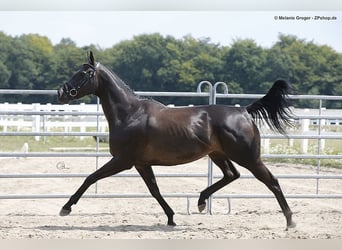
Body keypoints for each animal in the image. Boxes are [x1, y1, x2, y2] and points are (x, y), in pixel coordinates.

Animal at [57, 51, 296, 229]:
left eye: (84, 73)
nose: (62, 92)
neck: (130, 114)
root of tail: (244, 111)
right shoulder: (141, 164)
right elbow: (154, 190)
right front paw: (171, 218)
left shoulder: (122, 161)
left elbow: (90, 178)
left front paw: (66, 208)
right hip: (218, 154)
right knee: (232, 174)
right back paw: (201, 201)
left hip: (248, 157)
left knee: (272, 181)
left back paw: (290, 221)